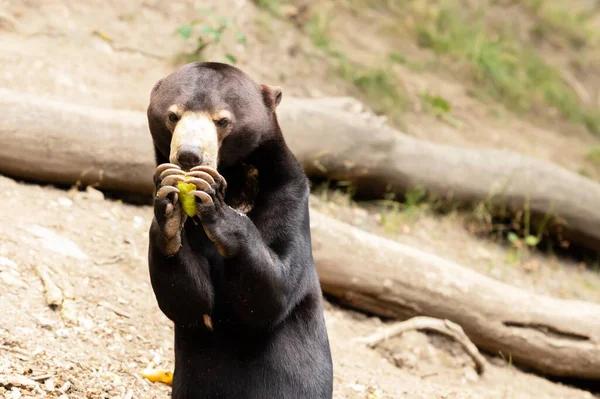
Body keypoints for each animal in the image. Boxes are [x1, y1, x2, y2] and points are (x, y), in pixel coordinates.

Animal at [145, 62, 332, 399]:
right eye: (173, 115)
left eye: (222, 120)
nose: (188, 156)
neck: (236, 181)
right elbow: (191, 302)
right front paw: (168, 202)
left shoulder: (289, 194)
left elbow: (272, 293)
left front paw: (214, 202)